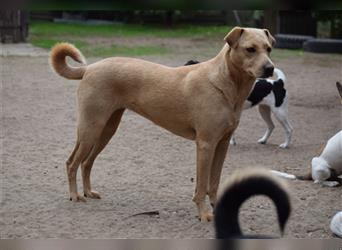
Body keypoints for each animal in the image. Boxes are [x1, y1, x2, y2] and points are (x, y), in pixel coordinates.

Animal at [50, 27, 276, 222]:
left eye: (268, 49)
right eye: (250, 49)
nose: (270, 68)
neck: (224, 83)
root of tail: (90, 68)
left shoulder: (222, 144)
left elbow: (214, 183)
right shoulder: (206, 144)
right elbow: (202, 185)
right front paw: (204, 214)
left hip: (106, 130)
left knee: (86, 163)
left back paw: (88, 192)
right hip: (90, 128)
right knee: (72, 162)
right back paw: (75, 195)